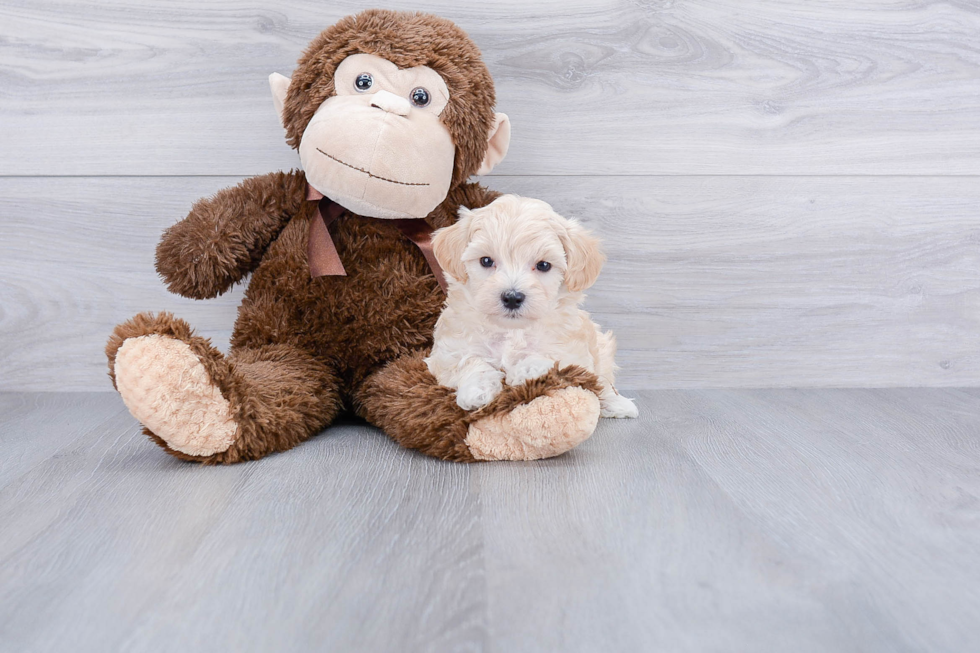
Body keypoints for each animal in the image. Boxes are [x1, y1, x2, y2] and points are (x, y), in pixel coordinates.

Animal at [424, 194, 640, 418]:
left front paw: (524, 370)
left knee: (602, 381)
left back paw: (617, 404)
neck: (512, 330)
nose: (512, 297)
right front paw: (477, 389)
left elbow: (551, 358)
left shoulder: (573, 354)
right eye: (486, 261)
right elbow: (468, 361)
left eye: (544, 265)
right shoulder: (447, 352)